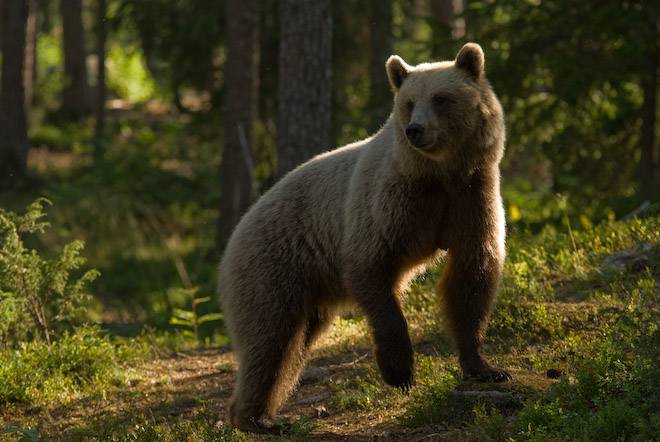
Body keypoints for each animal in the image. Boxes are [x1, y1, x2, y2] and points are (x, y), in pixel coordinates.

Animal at [219, 43, 508, 434]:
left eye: (441, 98)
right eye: (408, 102)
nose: (415, 130)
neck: (438, 173)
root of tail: (237, 229)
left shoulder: (471, 196)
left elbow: (472, 273)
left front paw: (485, 367)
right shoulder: (390, 202)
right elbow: (372, 267)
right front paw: (400, 371)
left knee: (289, 347)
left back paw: (261, 415)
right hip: (272, 265)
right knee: (269, 339)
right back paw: (256, 419)